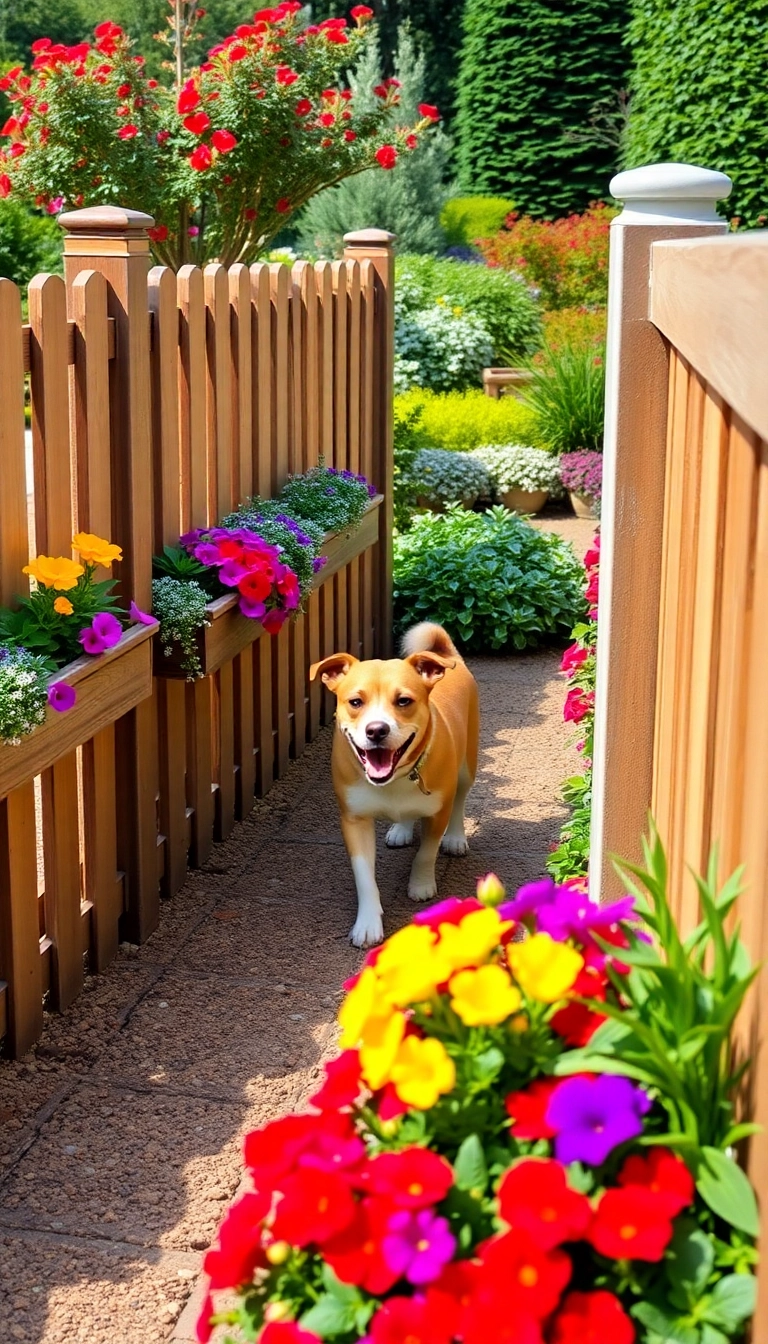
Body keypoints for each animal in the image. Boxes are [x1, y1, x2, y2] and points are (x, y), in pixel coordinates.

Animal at [308, 620, 478, 946]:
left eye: (403, 701)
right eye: (355, 702)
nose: (376, 729)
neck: (394, 779)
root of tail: (447, 656)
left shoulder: (437, 810)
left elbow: (426, 853)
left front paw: (421, 886)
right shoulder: (354, 819)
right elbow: (363, 876)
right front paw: (367, 923)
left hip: (467, 765)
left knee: (461, 800)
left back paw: (455, 838)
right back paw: (401, 829)